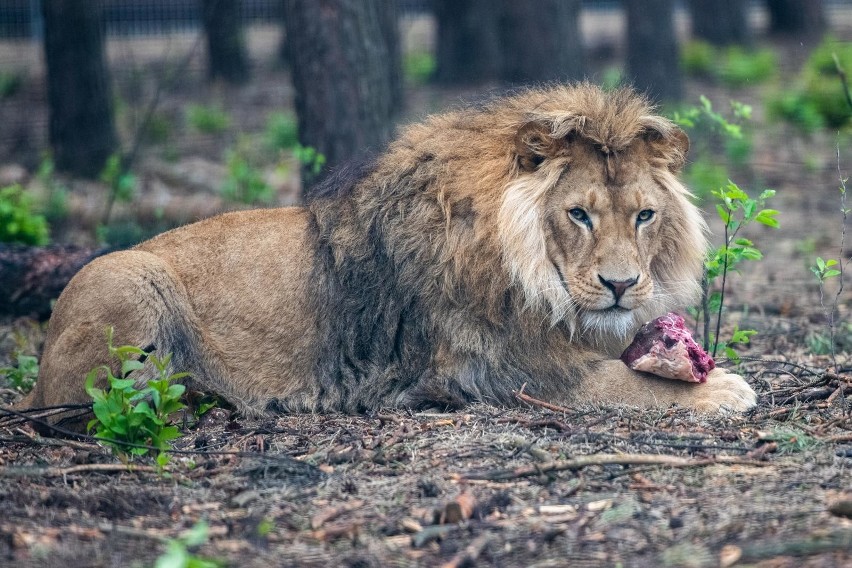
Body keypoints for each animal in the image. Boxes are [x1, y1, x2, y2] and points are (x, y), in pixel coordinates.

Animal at [18, 83, 752, 430]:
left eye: (644, 215)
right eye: (579, 214)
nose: (622, 285)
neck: (526, 273)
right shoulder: (502, 375)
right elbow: (622, 386)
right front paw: (723, 388)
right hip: (127, 278)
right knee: (101, 406)